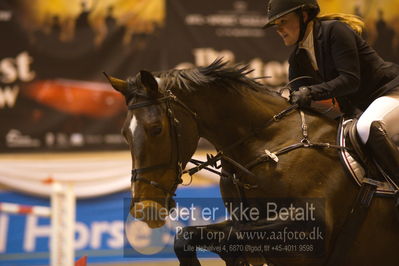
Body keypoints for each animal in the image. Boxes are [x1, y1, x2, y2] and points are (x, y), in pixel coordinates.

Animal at [105, 60, 399, 266]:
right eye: (124, 134)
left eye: (156, 129)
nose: (144, 210)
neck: (268, 145)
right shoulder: (243, 222)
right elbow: (186, 237)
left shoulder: (310, 227)